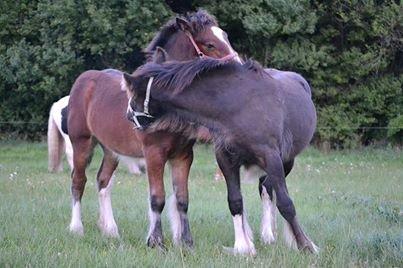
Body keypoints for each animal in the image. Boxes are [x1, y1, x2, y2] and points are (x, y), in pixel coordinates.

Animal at [67, 10, 240, 249]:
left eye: (226, 36)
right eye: (209, 44)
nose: (239, 67)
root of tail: (84, 79)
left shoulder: (183, 155)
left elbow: (182, 199)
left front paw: (186, 242)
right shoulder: (154, 153)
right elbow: (157, 198)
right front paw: (156, 242)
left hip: (112, 149)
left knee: (103, 181)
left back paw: (110, 230)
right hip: (81, 142)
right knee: (78, 180)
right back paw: (76, 228)